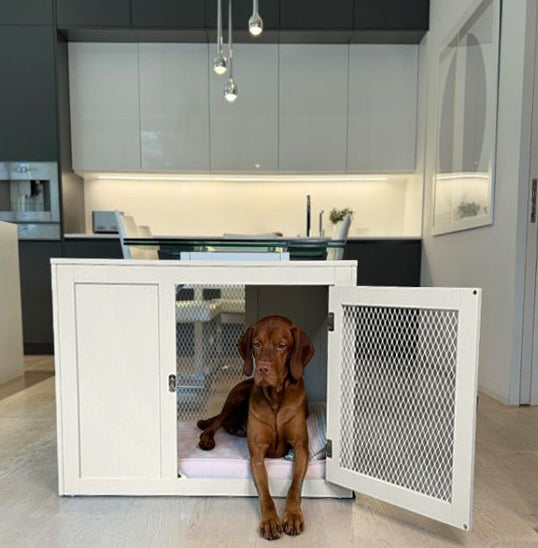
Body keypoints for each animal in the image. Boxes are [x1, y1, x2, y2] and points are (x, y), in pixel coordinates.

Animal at [196, 314, 314, 540]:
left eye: (282, 345)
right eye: (257, 344)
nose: (263, 369)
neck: (275, 398)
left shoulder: (301, 447)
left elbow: (294, 486)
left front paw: (293, 515)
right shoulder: (257, 454)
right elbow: (265, 491)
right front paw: (270, 520)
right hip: (237, 396)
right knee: (217, 421)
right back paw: (207, 437)